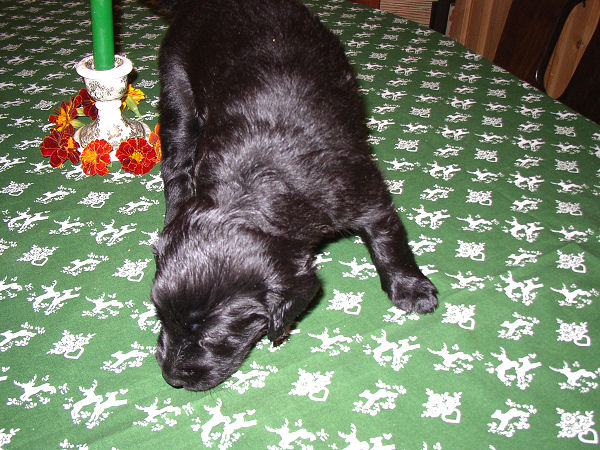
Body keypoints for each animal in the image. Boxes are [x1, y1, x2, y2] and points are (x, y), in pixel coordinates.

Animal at [152, 0, 438, 391]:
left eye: (211, 337)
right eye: (160, 316)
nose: (171, 378)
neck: (253, 189)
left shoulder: (364, 195)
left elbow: (389, 242)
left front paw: (412, 290)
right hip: (176, 84)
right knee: (176, 161)